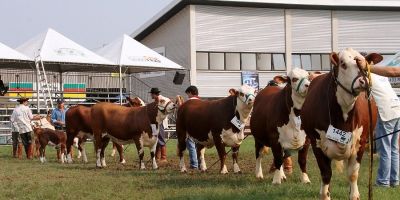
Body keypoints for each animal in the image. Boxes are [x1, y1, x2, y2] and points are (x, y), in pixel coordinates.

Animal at [300, 48, 382, 200]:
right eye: (343, 64)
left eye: (364, 64)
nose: (364, 81)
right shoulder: (316, 143)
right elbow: (326, 174)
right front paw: (325, 194)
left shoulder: (361, 143)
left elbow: (353, 174)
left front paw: (354, 194)